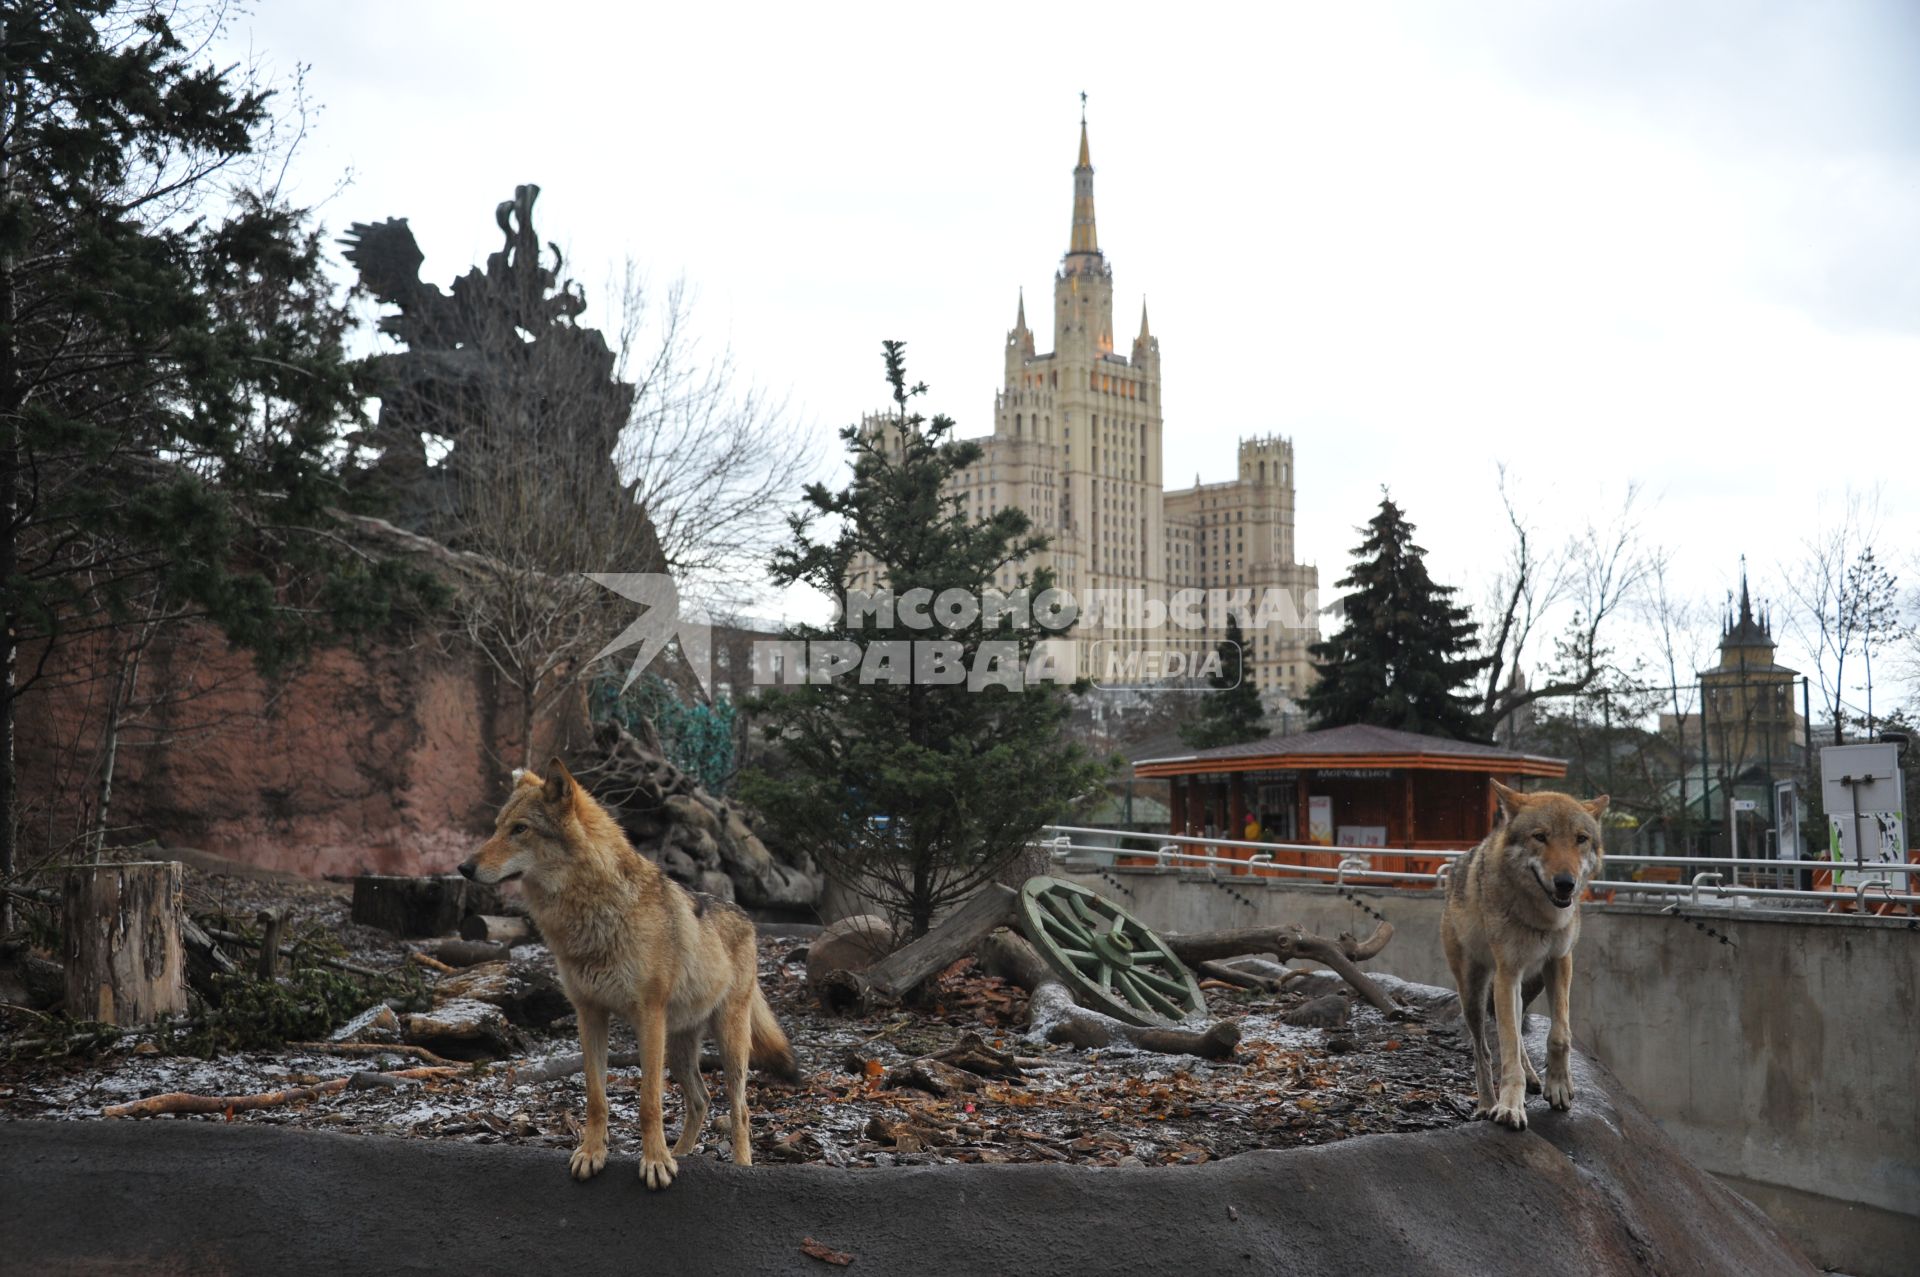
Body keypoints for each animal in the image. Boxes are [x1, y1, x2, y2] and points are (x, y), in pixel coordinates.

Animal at [456, 756, 794, 1182]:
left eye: (520, 829)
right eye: (497, 826)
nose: (463, 867)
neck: (593, 914)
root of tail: (747, 916)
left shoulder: (648, 1017)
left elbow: (649, 1102)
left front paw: (655, 1163)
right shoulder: (589, 1015)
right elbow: (596, 1098)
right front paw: (592, 1153)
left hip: (727, 1042)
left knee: (741, 1109)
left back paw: (739, 1164)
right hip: (678, 1047)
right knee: (700, 1100)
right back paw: (681, 1154)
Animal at [1443, 775, 1605, 1129]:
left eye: (1581, 839)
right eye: (1540, 837)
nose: (1566, 883)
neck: (1541, 918)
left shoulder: (1560, 962)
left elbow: (1560, 1034)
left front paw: (1558, 1087)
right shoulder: (1507, 973)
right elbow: (1506, 1049)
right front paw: (1509, 1108)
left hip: (1532, 984)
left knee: (1518, 1032)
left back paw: (1533, 1078)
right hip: (1474, 994)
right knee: (1483, 1050)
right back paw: (1487, 1104)